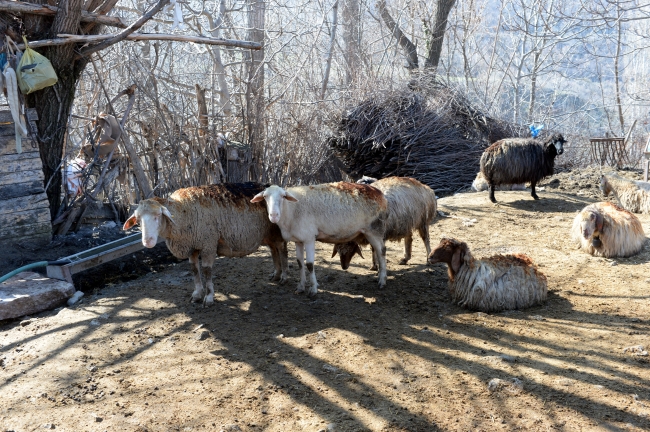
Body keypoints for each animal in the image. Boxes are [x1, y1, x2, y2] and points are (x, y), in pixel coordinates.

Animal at [123, 181, 286, 304]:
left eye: (157, 215)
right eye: (138, 220)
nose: (147, 241)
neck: (183, 212)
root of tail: (269, 185)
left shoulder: (208, 244)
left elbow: (207, 270)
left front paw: (208, 297)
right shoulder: (192, 246)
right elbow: (194, 269)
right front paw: (197, 294)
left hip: (276, 230)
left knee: (282, 249)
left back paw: (283, 276)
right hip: (268, 233)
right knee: (273, 250)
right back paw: (276, 274)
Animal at [251, 182, 388, 296]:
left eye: (283, 196)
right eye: (265, 197)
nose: (274, 215)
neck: (292, 210)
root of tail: (379, 193)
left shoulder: (309, 238)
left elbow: (310, 265)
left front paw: (313, 290)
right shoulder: (298, 240)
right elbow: (300, 263)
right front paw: (300, 287)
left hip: (374, 229)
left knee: (382, 252)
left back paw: (382, 280)